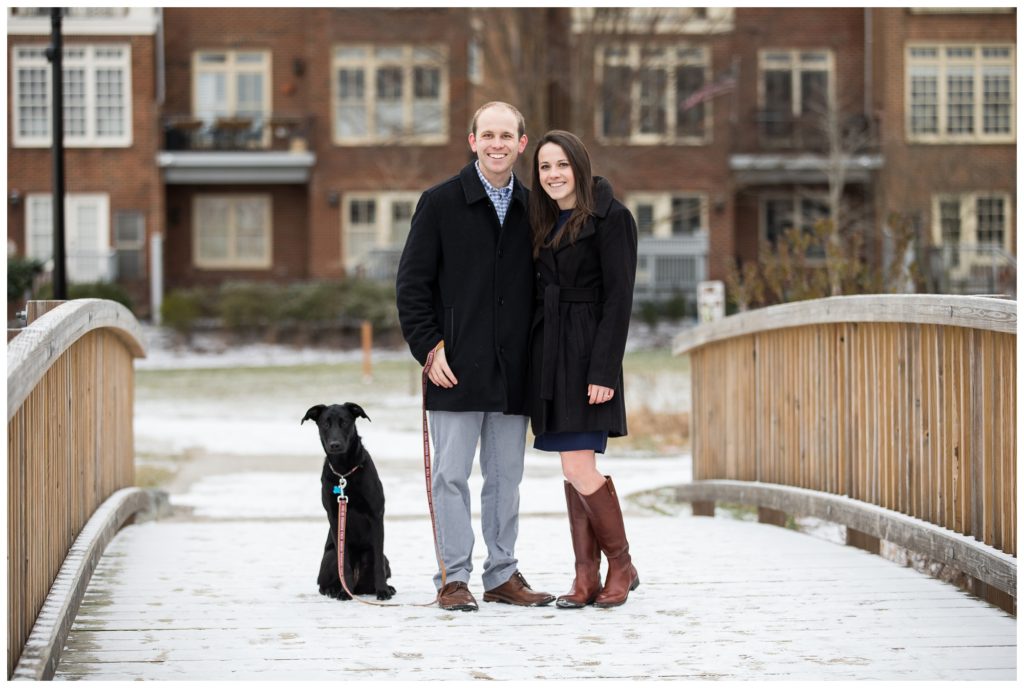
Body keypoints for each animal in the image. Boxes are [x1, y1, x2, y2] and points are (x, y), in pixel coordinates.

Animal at [301, 401, 393, 597]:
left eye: (344, 422)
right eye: (325, 424)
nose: (335, 445)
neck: (344, 471)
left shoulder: (376, 514)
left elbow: (378, 564)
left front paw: (382, 590)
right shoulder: (334, 516)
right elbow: (344, 564)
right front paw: (345, 592)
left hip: (384, 558)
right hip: (330, 557)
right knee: (323, 584)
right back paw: (336, 590)